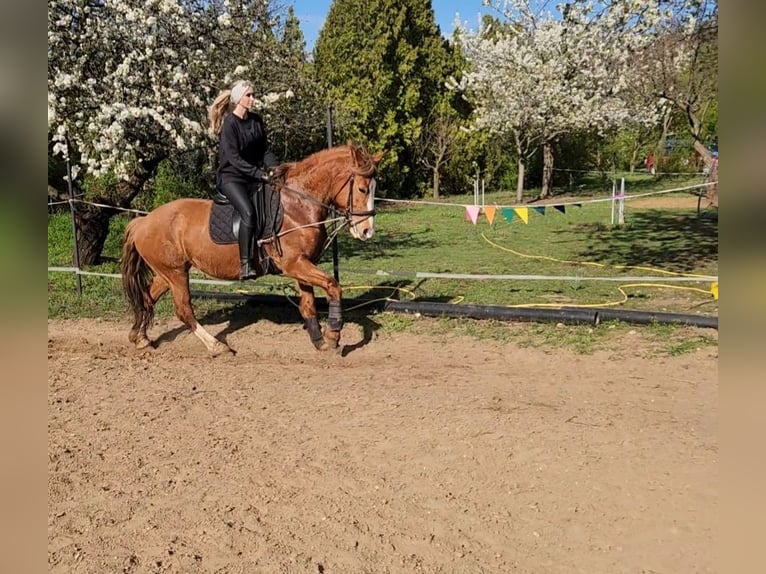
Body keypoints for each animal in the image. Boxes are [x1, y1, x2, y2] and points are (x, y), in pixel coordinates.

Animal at [121, 144, 383, 355]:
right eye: (362, 189)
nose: (367, 231)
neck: (297, 206)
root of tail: (142, 222)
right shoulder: (294, 264)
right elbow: (333, 285)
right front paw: (333, 335)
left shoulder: (302, 265)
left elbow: (308, 304)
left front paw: (319, 341)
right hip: (175, 274)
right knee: (183, 309)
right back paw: (217, 347)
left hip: (169, 272)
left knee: (147, 298)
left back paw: (139, 338)